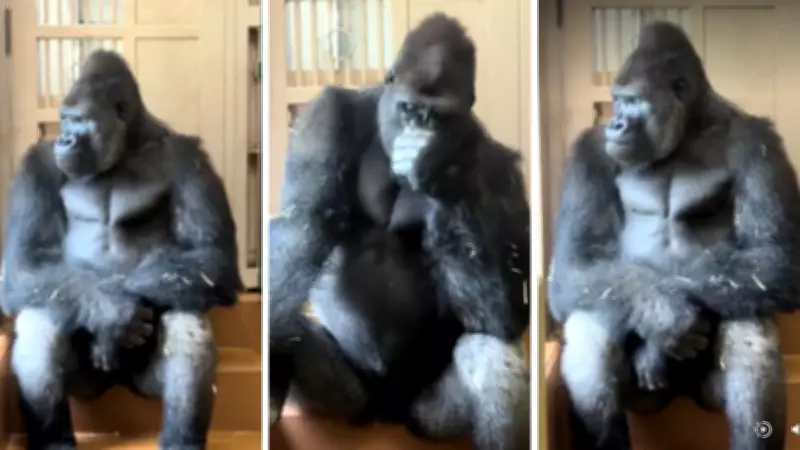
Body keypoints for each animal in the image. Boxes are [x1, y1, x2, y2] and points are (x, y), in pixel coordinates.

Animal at [2, 50, 243, 450]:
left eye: (82, 120)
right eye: (64, 120)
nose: (64, 140)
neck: (129, 145)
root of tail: (116, 383)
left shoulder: (190, 159)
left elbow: (211, 256)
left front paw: (119, 311)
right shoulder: (37, 165)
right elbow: (26, 263)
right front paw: (112, 312)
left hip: (143, 384)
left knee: (186, 318)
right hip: (86, 388)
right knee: (40, 318)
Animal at [268, 13, 531, 450]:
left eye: (437, 116)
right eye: (408, 109)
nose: (418, 131)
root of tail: (386, 413)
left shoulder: (499, 165)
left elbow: (506, 313)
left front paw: (442, 173)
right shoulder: (325, 115)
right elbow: (301, 226)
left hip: (422, 416)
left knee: (490, 354)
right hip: (354, 402)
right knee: (289, 321)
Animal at [547, 21, 800, 450]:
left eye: (633, 101)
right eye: (616, 101)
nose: (615, 122)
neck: (689, 130)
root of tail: (677, 396)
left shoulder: (759, 143)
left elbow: (773, 256)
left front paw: (666, 327)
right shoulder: (589, 152)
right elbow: (576, 263)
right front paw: (664, 315)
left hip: (705, 396)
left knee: (749, 321)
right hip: (644, 401)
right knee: (589, 327)